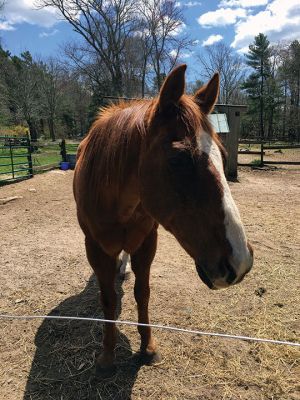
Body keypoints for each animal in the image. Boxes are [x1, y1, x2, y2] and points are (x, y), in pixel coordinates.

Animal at [73, 64, 253, 374]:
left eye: (223, 155)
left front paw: (148, 347)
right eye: (179, 160)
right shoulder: (94, 248)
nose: (240, 263)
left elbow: (142, 293)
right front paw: (107, 356)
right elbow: (108, 299)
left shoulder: (147, 243)